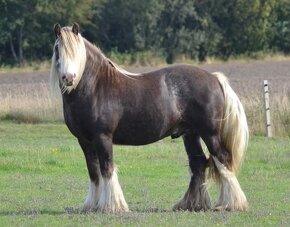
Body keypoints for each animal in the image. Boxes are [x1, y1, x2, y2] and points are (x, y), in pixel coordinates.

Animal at [49, 23, 249, 213]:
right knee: (198, 163)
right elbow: (94, 172)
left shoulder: (103, 137)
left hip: (210, 133)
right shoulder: (84, 141)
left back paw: (232, 204)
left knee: (223, 159)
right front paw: (91, 206)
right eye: (57, 48)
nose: (69, 78)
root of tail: (214, 78)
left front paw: (113, 206)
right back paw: (192, 204)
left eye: (75, 49)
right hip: (191, 134)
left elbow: (106, 168)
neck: (96, 87)